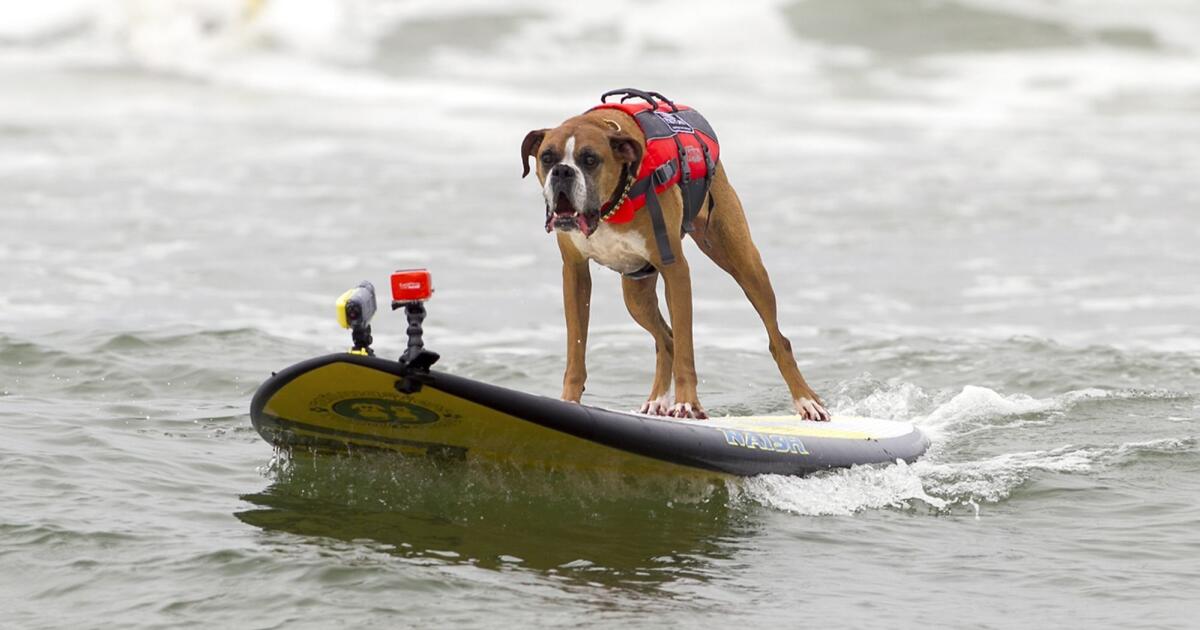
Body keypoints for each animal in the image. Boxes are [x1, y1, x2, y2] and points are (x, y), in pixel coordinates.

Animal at [520, 100, 830, 420]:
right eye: (547, 158)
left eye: (590, 159)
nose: (562, 171)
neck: (611, 206)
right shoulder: (575, 274)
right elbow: (576, 347)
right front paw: (569, 401)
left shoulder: (676, 271)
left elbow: (686, 347)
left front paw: (687, 403)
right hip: (636, 295)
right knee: (665, 339)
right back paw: (657, 399)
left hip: (746, 266)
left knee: (777, 339)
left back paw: (806, 400)